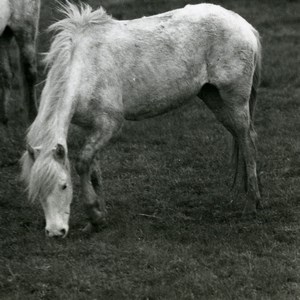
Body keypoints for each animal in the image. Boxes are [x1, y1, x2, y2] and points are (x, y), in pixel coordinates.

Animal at [21, 1, 262, 237]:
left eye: (63, 186)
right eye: (38, 193)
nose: (55, 232)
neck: (86, 66)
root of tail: (244, 25)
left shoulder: (108, 125)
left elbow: (82, 163)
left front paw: (95, 214)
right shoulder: (88, 128)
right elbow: (93, 171)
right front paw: (98, 220)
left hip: (235, 101)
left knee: (248, 142)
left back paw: (252, 204)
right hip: (215, 99)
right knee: (241, 139)